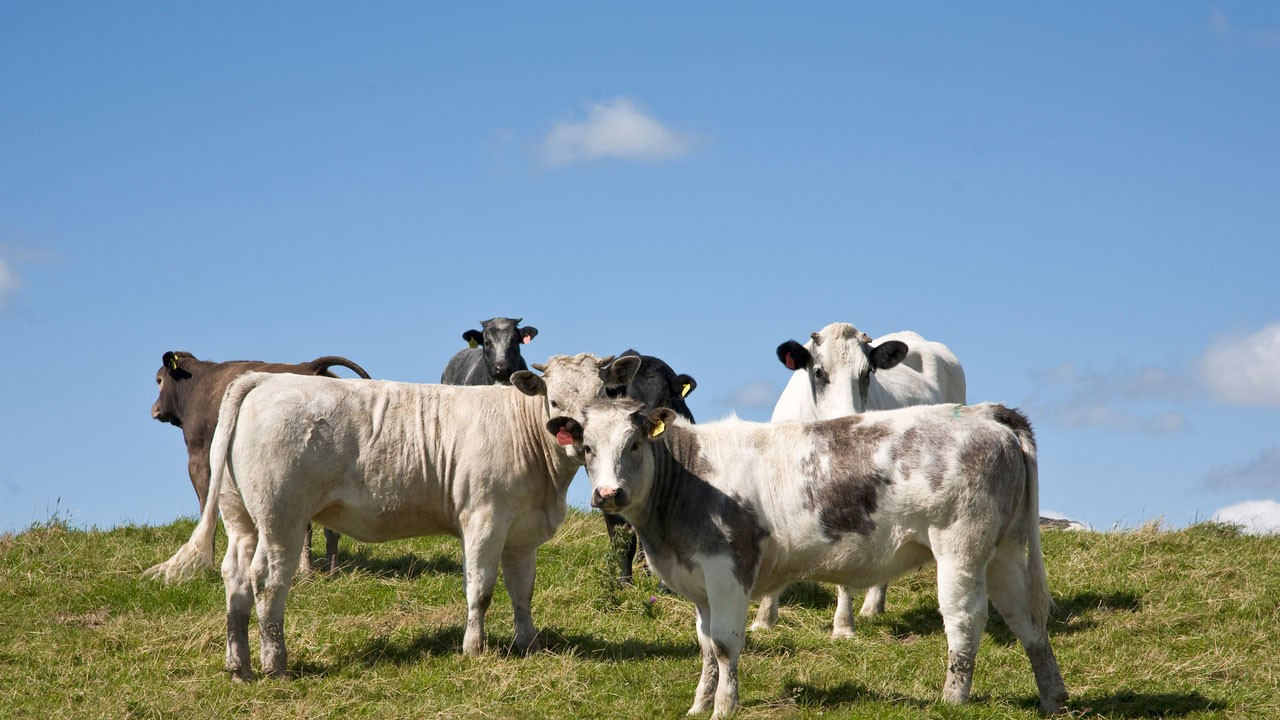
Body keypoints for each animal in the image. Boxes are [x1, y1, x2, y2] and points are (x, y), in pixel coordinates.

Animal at [150, 348, 373, 571]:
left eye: (159, 380)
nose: (155, 408)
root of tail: (310, 365)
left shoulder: (199, 454)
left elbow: (206, 504)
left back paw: (306, 571)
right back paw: (331, 570)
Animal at [555, 394, 1064, 712]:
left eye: (634, 443)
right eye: (587, 448)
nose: (608, 494)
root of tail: (985, 412)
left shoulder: (729, 568)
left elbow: (725, 644)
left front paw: (724, 707)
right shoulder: (699, 581)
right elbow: (705, 646)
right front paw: (699, 706)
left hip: (960, 544)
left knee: (965, 618)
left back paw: (952, 700)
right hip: (1002, 549)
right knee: (1026, 619)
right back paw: (1053, 698)